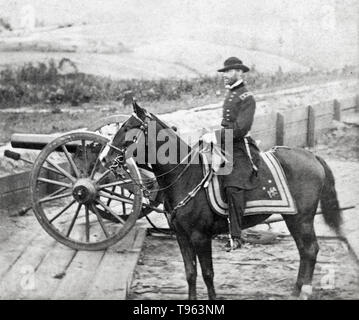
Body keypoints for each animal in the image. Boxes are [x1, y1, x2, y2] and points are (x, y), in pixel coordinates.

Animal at [102, 102, 344, 300]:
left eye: (127, 128)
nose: (104, 157)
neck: (186, 177)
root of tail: (312, 156)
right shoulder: (181, 236)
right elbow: (190, 272)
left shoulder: (200, 237)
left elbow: (208, 273)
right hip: (292, 217)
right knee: (304, 250)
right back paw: (296, 290)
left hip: (301, 219)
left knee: (310, 249)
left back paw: (305, 292)